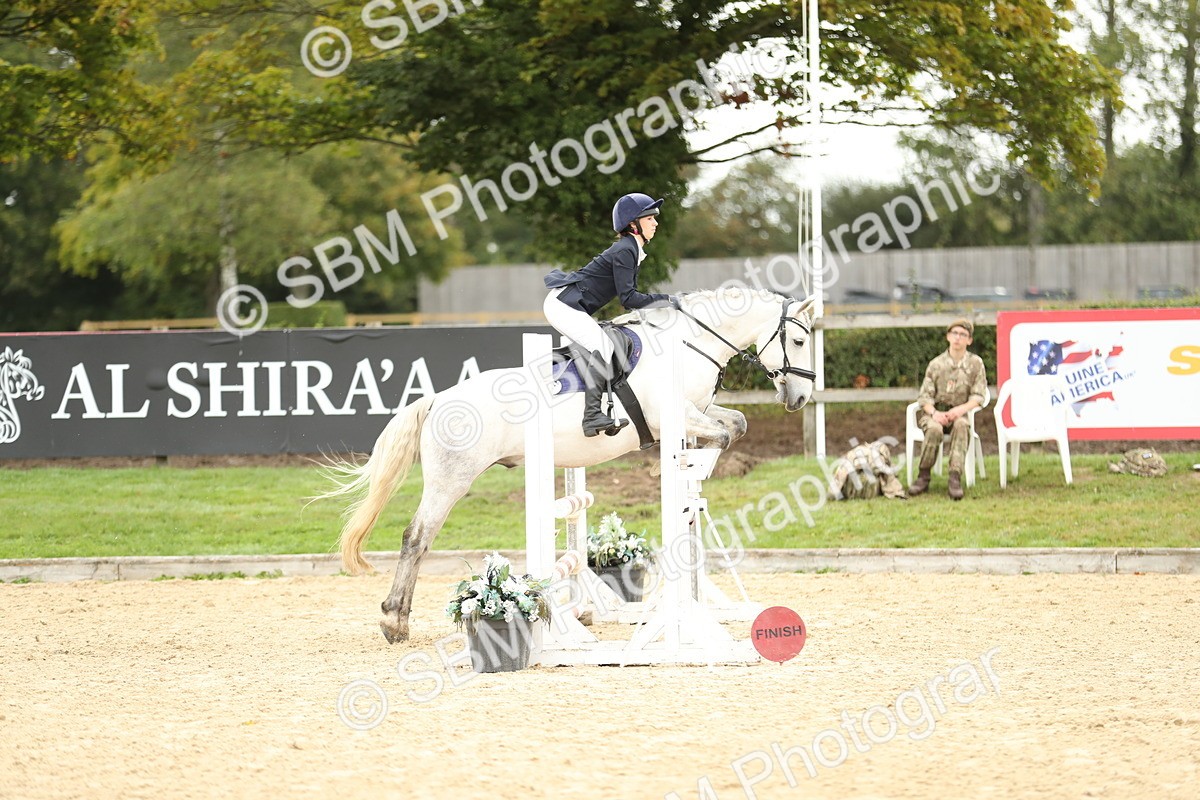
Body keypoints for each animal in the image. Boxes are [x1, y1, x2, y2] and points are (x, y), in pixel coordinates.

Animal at [318, 286, 819, 643]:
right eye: (797, 340)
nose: (800, 398)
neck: (689, 343)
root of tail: (438, 399)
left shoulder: (698, 411)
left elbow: (735, 423)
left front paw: (692, 468)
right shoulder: (671, 415)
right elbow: (723, 433)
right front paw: (667, 469)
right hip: (451, 479)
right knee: (416, 538)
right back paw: (394, 622)